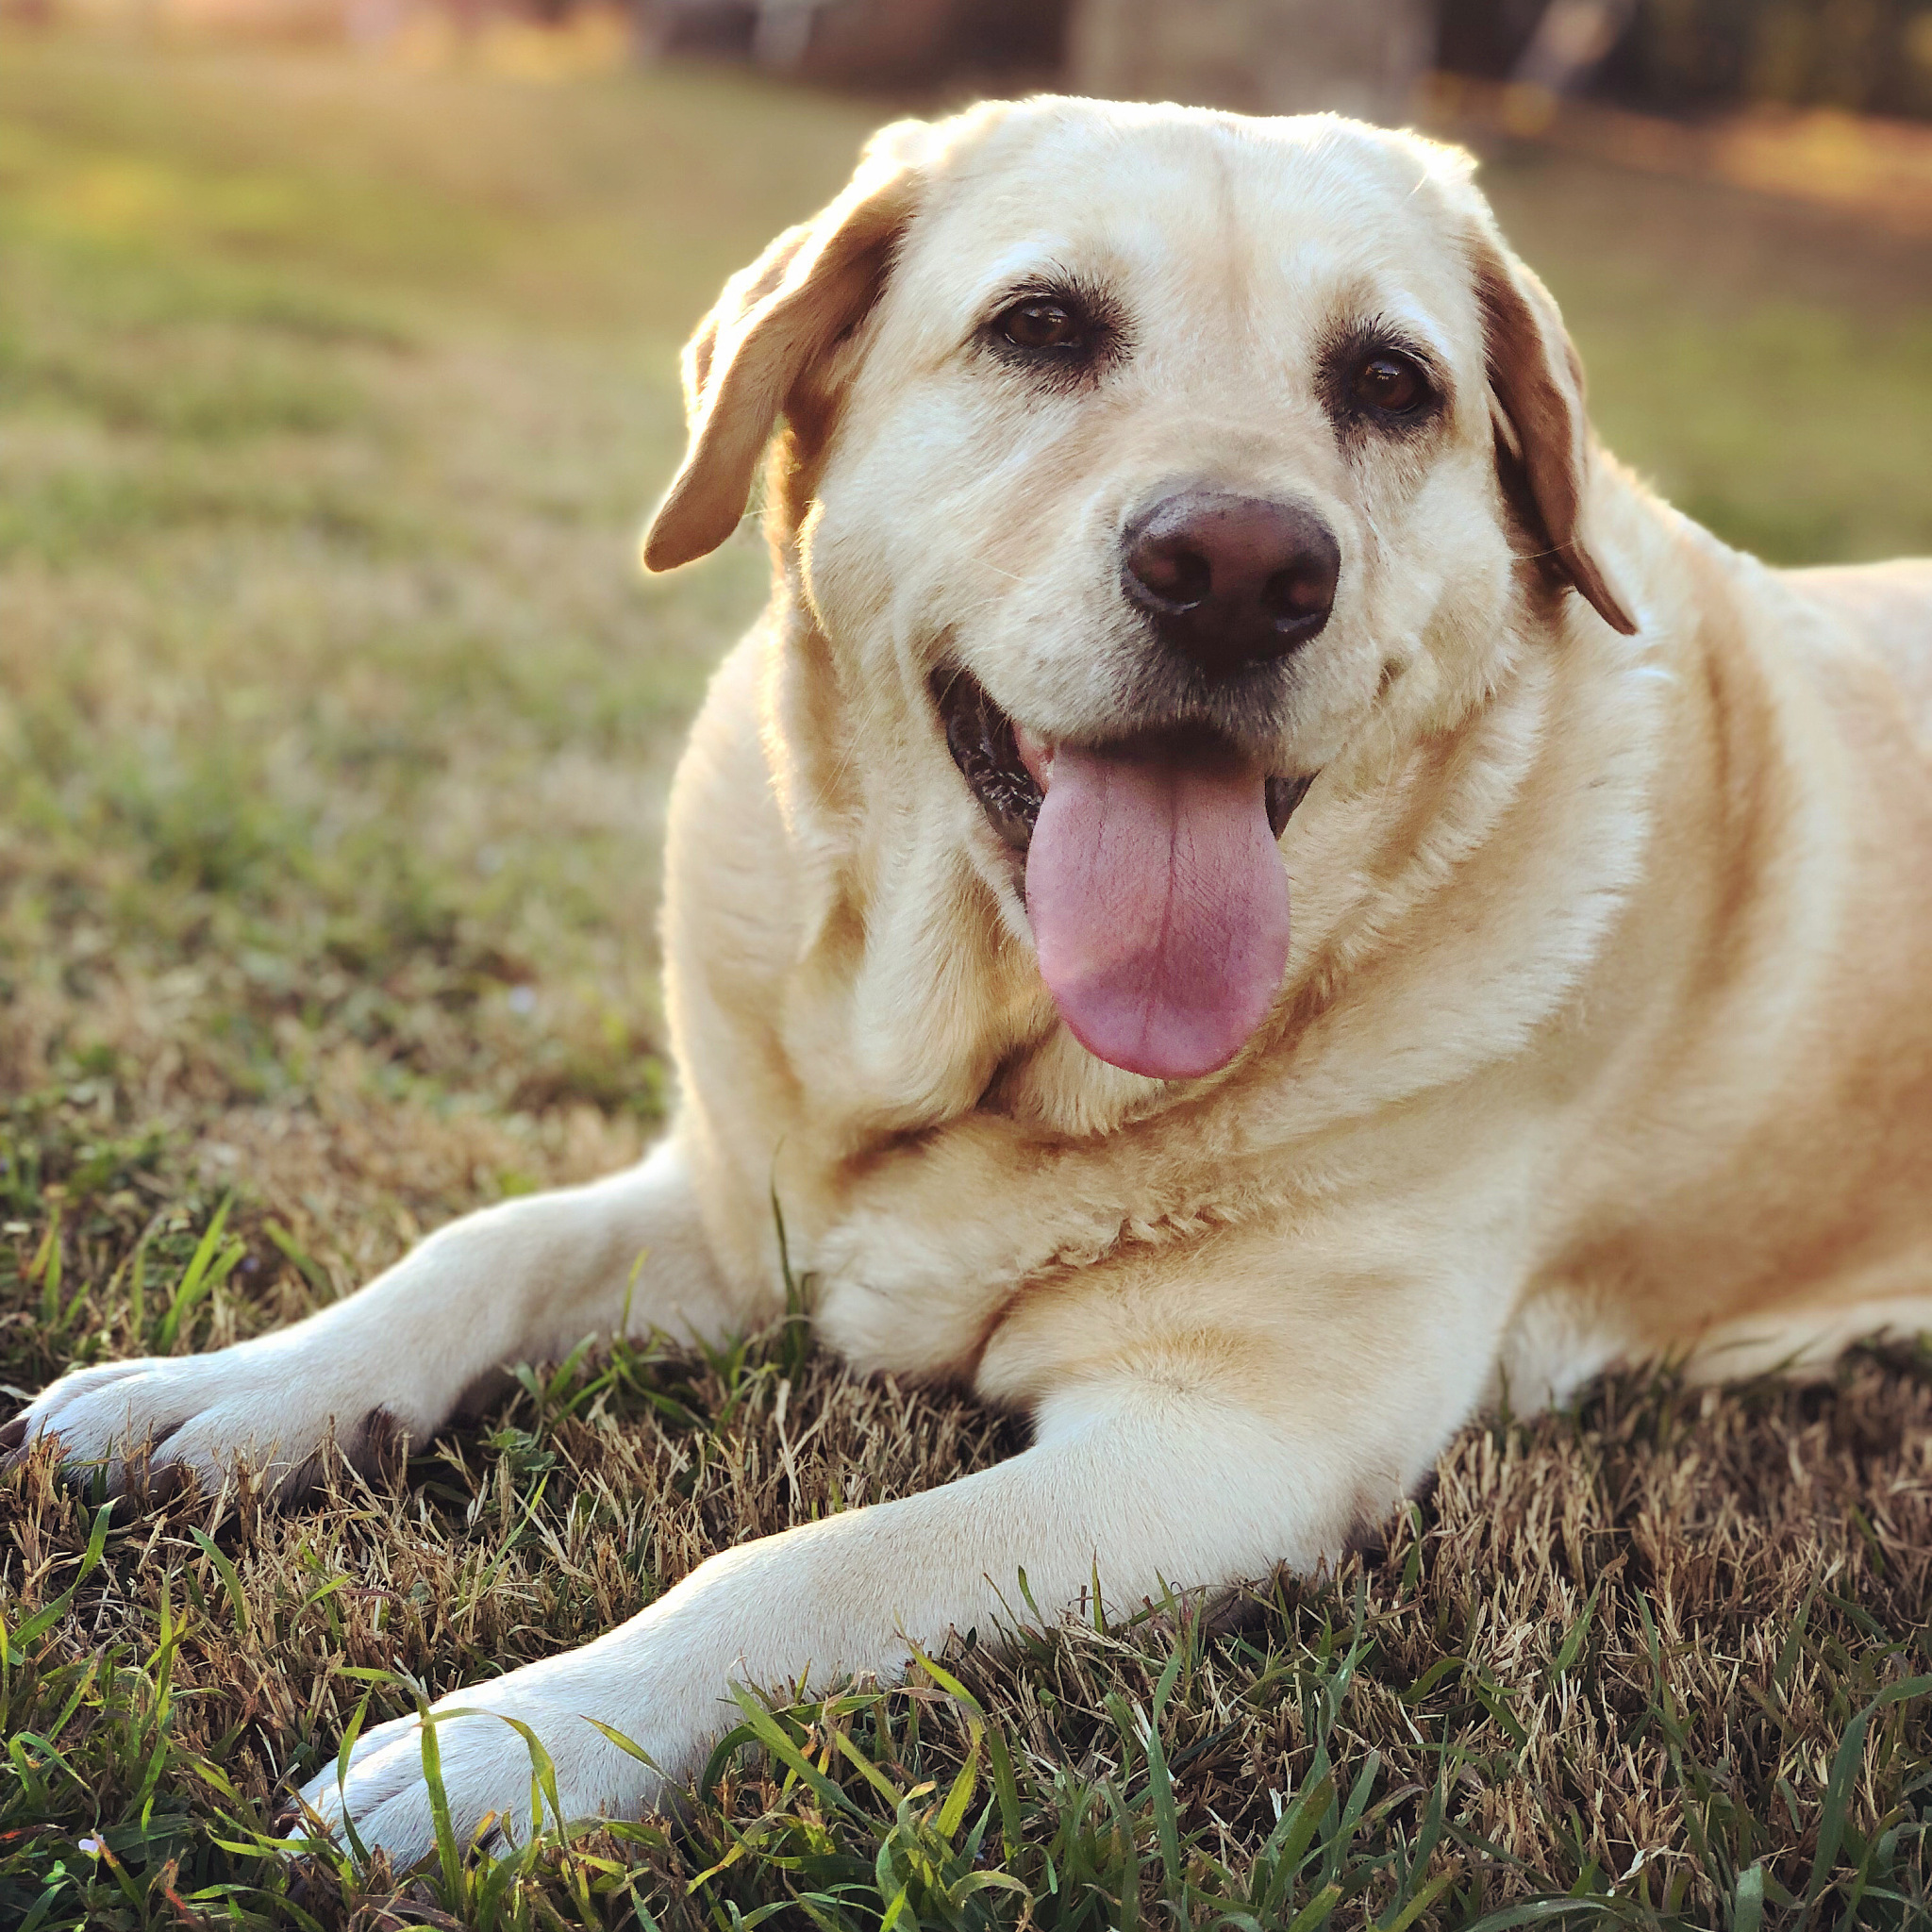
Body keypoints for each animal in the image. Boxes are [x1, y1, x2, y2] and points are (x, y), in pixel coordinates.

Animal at [15, 93, 1932, 1855]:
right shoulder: (745, 1208)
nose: (1239, 568)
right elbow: (480, 1246)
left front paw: (515, 1744)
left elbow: (808, 1560)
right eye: (1042, 326)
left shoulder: (1234, 1439)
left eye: (1391, 383)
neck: (990, 1058)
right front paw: (227, 1395)